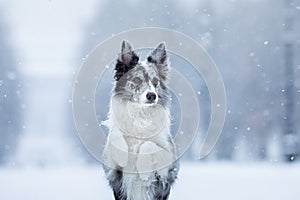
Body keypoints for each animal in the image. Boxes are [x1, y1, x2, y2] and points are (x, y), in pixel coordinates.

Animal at [102, 41, 179, 200]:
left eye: (156, 82)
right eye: (137, 80)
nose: (152, 96)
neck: (141, 115)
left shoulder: (169, 162)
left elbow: (149, 144)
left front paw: (143, 169)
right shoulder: (110, 166)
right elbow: (115, 136)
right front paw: (122, 154)